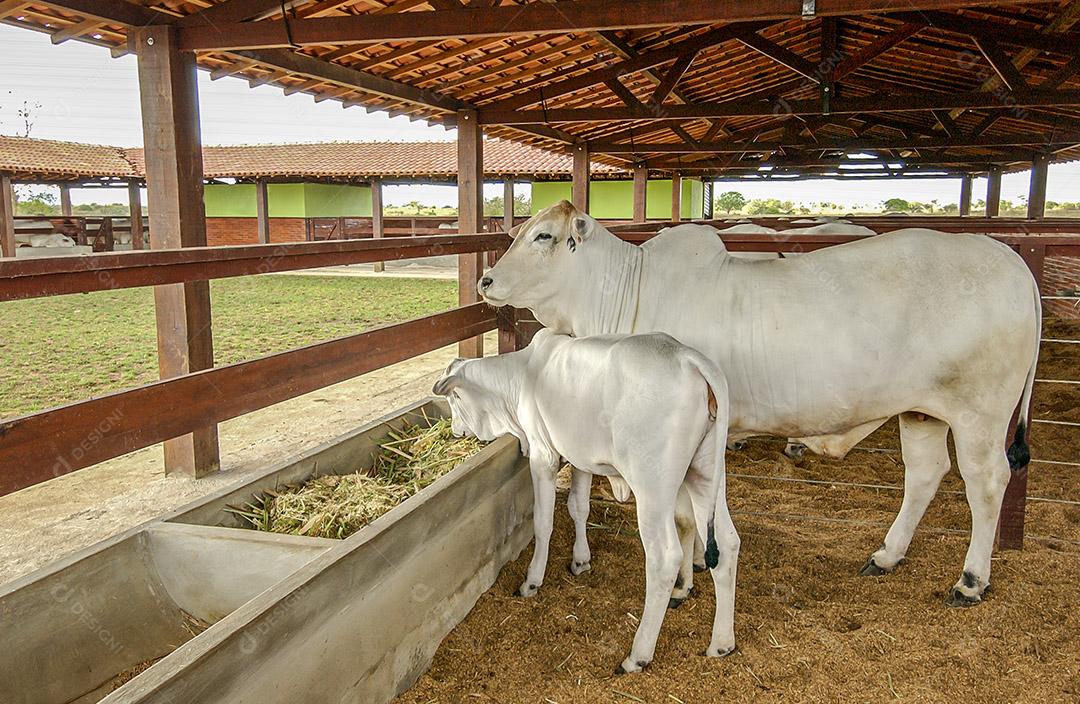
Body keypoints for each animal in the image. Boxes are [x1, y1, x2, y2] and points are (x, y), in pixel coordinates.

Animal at [432, 329, 740, 673]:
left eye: (454, 399)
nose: (455, 431)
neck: (521, 377)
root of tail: (689, 358)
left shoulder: (543, 455)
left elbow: (544, 521)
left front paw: (532, 581)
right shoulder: (581, 459)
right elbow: (579, 506)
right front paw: (581, 560)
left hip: (653, 487)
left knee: (664, 558)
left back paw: (638, 655)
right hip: (705, 475)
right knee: (727, 543)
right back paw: (721, 644)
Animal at [479, 200, 1040, 607]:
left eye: (544, 236)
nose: (485, 280)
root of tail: (1012, 261)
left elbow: (687, 514)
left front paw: (688, 576)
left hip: (978, 414)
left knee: (987, 484)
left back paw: (970, 580)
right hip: (921, 410)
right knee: (925, 474)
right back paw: (886, 555)